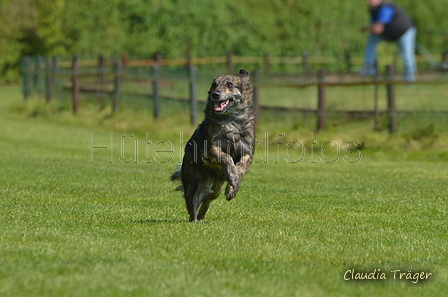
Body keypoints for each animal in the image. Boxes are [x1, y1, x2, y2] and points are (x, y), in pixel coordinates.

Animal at [171, 69, 256, 221]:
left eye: (230, 84)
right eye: (214, 84)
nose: (215, 94)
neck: (231, 120)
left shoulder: (247, 151)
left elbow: (241, 167)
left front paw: (233, 187)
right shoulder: (211, 149)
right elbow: (227, 158)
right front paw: (233, 178)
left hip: (216, 186)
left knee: (209, 198)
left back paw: (202, 215)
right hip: (195, 182)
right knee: (193, 200)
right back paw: (194, 220)